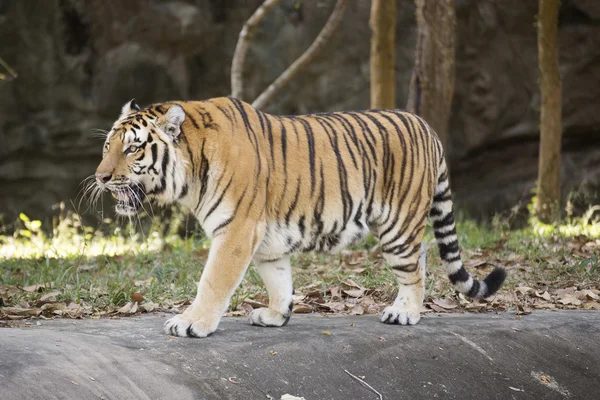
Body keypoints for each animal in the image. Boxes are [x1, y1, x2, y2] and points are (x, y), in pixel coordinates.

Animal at [94, 97, 506, 338]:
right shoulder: (265, 240)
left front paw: (191, 322)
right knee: (421, 257)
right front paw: (277, 316)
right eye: (107, 146)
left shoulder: (236, 231)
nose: (100, 177)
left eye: (132, 149)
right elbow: (279, 280)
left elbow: (212, 281)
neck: (192, 170)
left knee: (414, 267)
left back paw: (405, 313)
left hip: (399, 224)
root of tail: (427, 127)